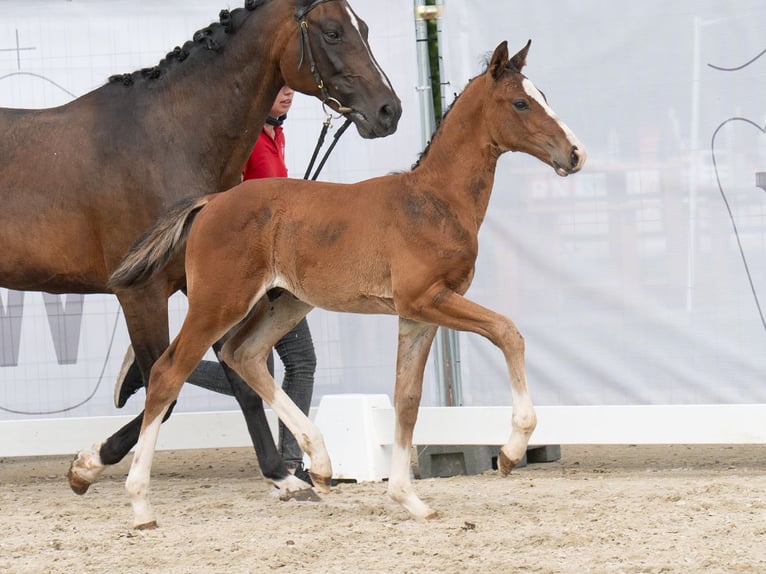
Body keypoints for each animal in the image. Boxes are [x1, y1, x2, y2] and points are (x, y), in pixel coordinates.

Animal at [0, 1, 404, 500]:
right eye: (332, 32)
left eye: (363, 27)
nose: (389, 111)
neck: (168, 139)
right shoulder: (142, 293)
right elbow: (166, 386)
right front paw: (86, 466)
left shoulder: (210, 288)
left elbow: (237, 375)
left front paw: (283, 475)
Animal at [109, 38, 588, 528]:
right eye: (520, 103)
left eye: (543, 94)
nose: (574, 154)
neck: (435, 200)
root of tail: (211, 201)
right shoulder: (427, 298)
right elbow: (507, 332)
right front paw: (511, 451)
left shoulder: (418, 313)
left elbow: (407, 398)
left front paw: (408, 498)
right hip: (218, 302)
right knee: (168, 372)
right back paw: (140, 503)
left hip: (285, 302)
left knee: (243, 355)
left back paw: (319, 464)